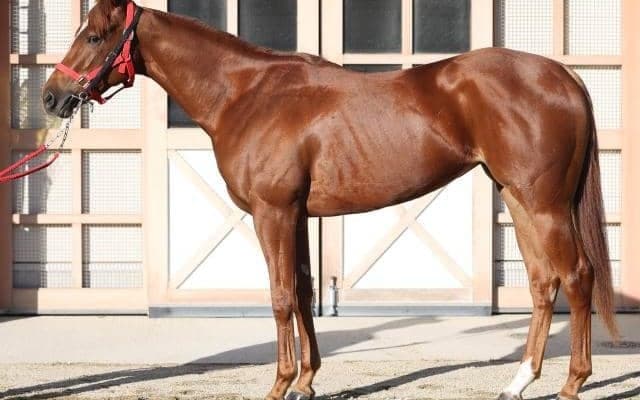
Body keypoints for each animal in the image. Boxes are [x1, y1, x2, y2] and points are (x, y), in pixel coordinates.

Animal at [42, 1, 618, 399]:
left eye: (94, 35)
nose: (51, 96)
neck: (246, 94)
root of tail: (563, 74)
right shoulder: (295, 216)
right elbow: (302, 290)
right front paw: (306, 382)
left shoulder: (273, 213)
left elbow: (279, 296)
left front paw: (279, 384)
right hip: (519, 200)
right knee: (544, 283)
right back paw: (519, 381)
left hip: (544, 206)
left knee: (577, 277)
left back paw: (573, 381)